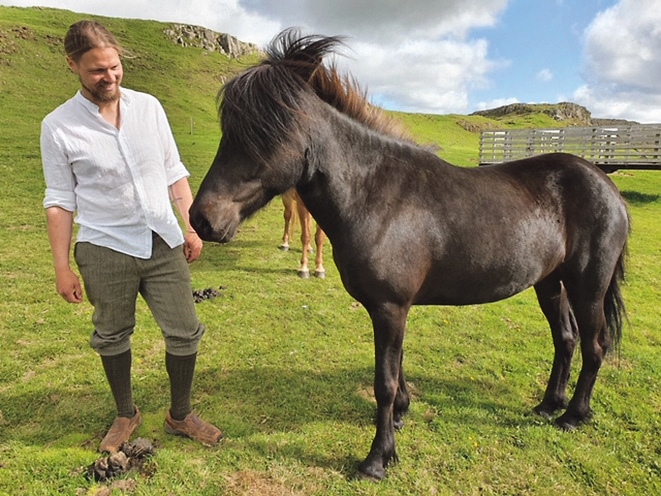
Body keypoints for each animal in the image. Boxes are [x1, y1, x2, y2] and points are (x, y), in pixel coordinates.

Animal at [189, 29, 628, 478]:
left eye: (264, 134)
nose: (201, 219)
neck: (376, 195)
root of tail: (605, 184)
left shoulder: (390, 307)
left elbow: (383, 381)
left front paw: (377, 458)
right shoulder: (389, 309)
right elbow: (397, 370)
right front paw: (402, 413)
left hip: (588, 286)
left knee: (594, 346)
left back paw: (573, 415)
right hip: (550, 283)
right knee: (565, 339)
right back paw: (548, 405)